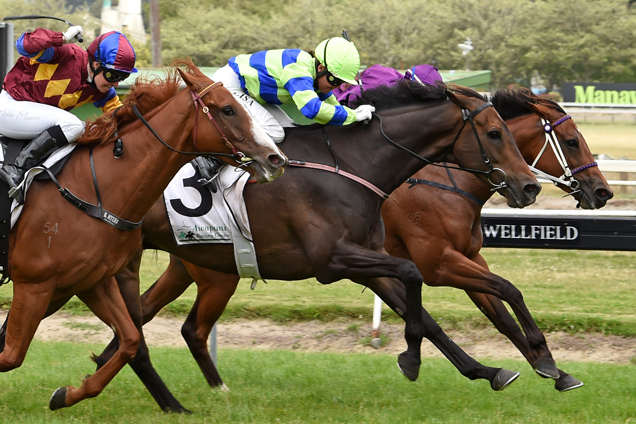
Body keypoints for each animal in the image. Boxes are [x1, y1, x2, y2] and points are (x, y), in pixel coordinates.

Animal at [0, 58, 286, 410]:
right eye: (228, 109)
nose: (276, 158)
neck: (93, 188)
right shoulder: (35, 284)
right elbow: (11, 355)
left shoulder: (90, 280)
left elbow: (130, 340)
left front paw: (65, 395)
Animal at [82, 80, 544, 410]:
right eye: (494, 133)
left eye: (508, 132)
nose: (530, 186)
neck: (353, 164)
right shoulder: (334, 259)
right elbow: (415, 278)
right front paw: (412, 360)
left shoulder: (370, 262)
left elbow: (427, 317)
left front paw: (488, 370)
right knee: (153, 328)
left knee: (143, 323)